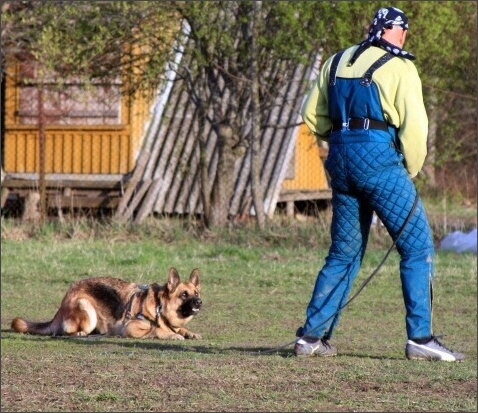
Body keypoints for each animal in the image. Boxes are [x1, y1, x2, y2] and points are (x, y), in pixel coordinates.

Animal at [11, 268, 202, 338]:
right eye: (184, 295)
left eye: (196, 293)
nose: (199, 302)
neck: (159, 305)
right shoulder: (130, 327)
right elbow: (157, 330)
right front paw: (170, 334)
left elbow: (180, 329)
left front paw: (189, 332)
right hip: (87, 310)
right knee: (64, 332)